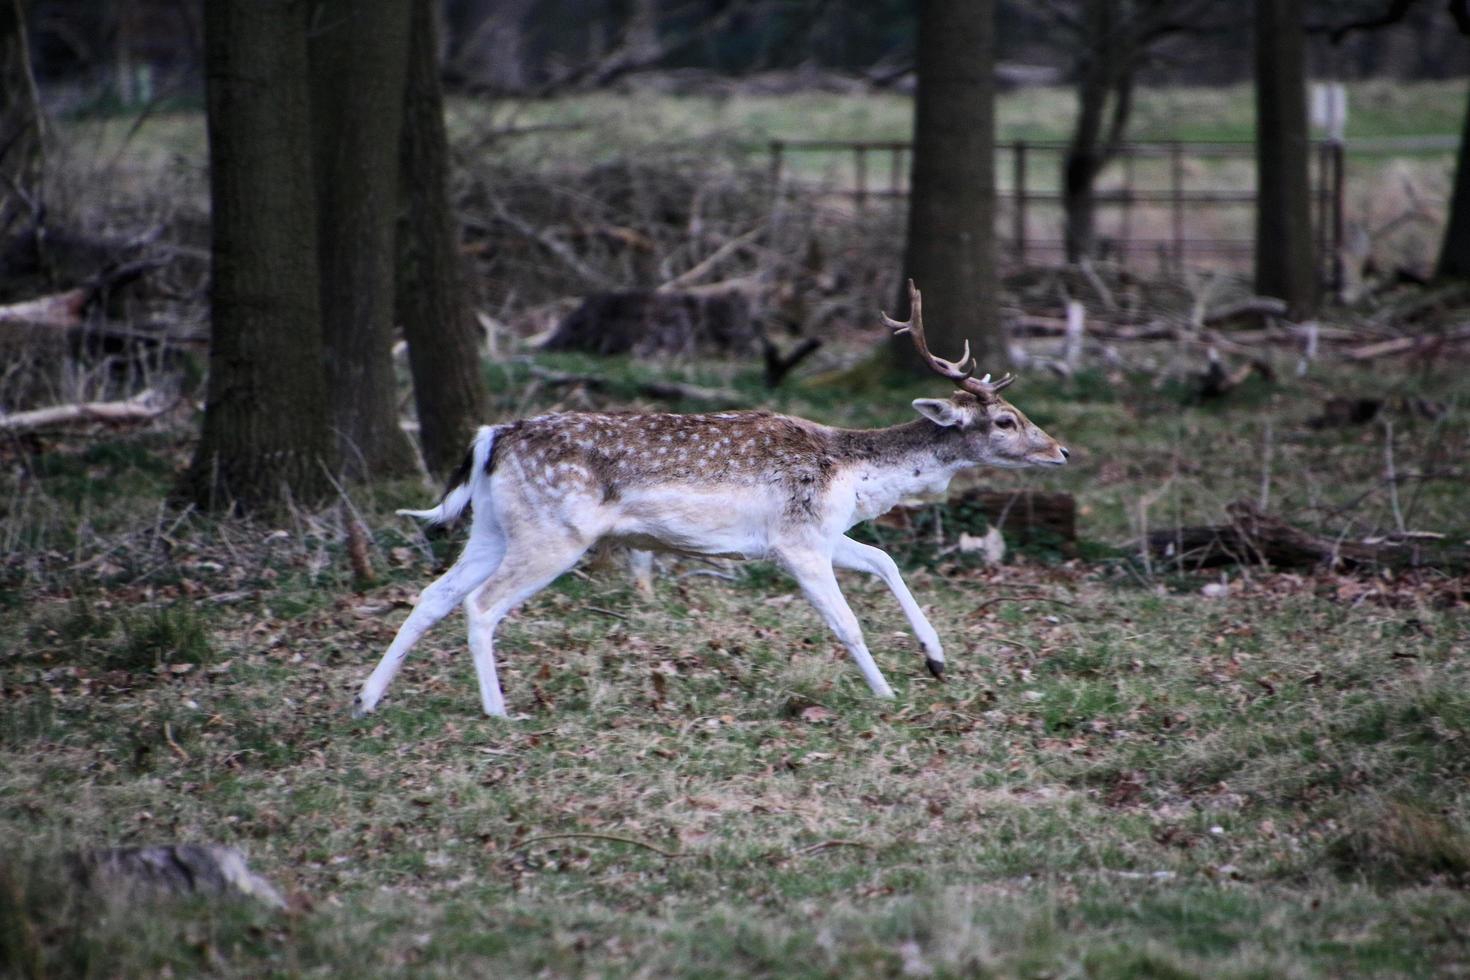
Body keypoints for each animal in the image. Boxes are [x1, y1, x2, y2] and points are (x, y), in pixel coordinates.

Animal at [355, 279, 1070, 717]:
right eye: (1005, 420)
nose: (1061, 450)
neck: (854, 473)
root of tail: (492, 437)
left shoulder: (817, 533)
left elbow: (887, 562)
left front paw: (937, 661)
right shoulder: (796, 541)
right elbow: (847, 622)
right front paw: (888, 693)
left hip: (494, 528)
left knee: (433, 594)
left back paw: (366, 698)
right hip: (553, 533)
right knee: (480, 604)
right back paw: (499, 711)